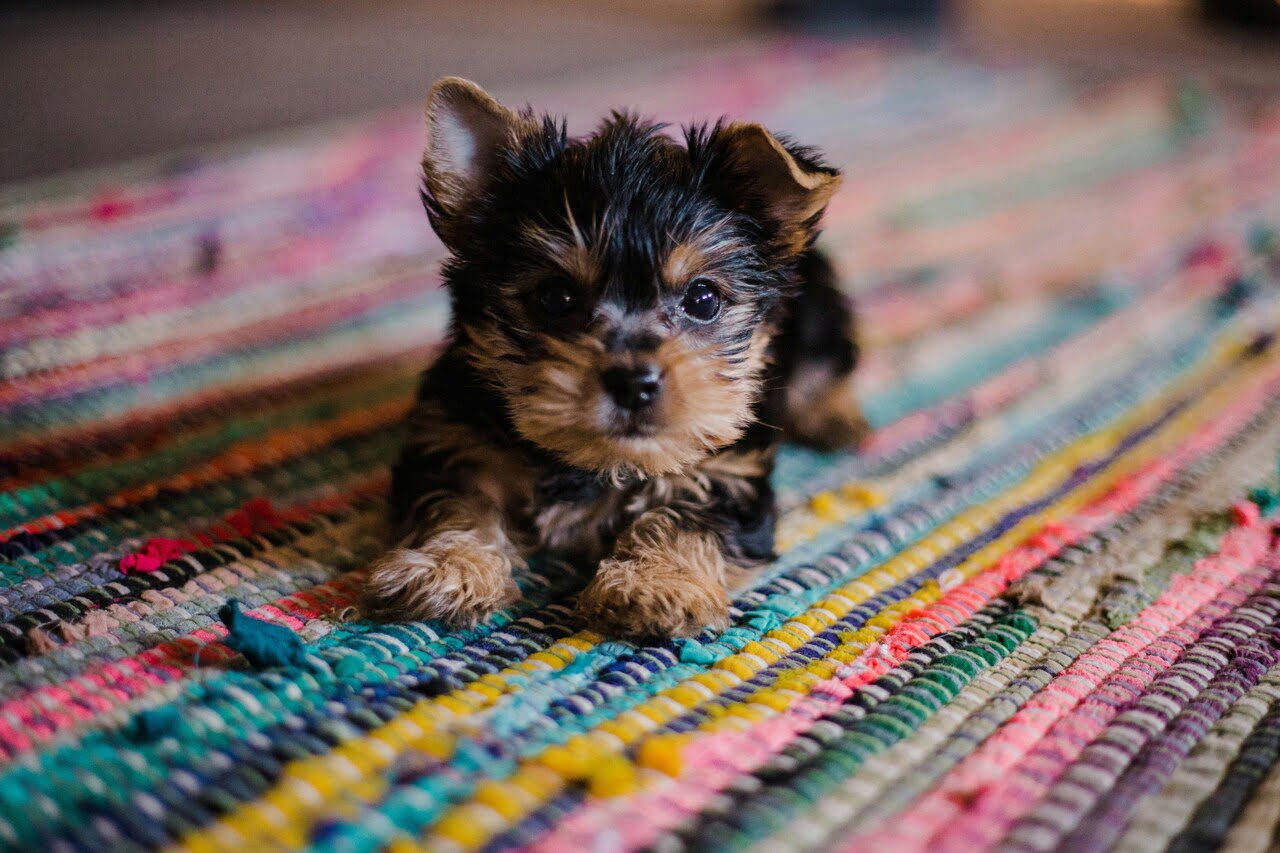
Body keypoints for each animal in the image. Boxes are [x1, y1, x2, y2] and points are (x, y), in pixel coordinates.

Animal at [363, 78, 870, 637]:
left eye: (703, 299)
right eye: (556, 297)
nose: (634, 383)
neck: (598, 463)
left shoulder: (728, 468)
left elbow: (686, 515)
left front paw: (657, 584)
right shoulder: (454, 436)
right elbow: (456, 499)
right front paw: (448, 567)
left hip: (819, 311)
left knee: (829, 362)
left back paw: (835, 417)